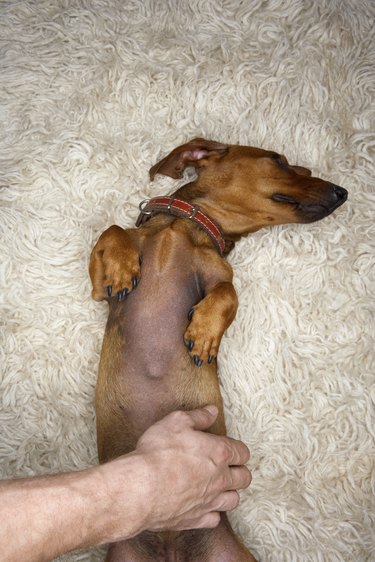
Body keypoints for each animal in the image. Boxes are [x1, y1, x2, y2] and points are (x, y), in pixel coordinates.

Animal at [89, 137, 348, 560]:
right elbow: (112, 231)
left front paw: (204, 333)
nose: (343, 193)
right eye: (279, 160)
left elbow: (229, 294)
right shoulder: (100, 291)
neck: (181, 227)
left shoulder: (219, 276)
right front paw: (122, 266)